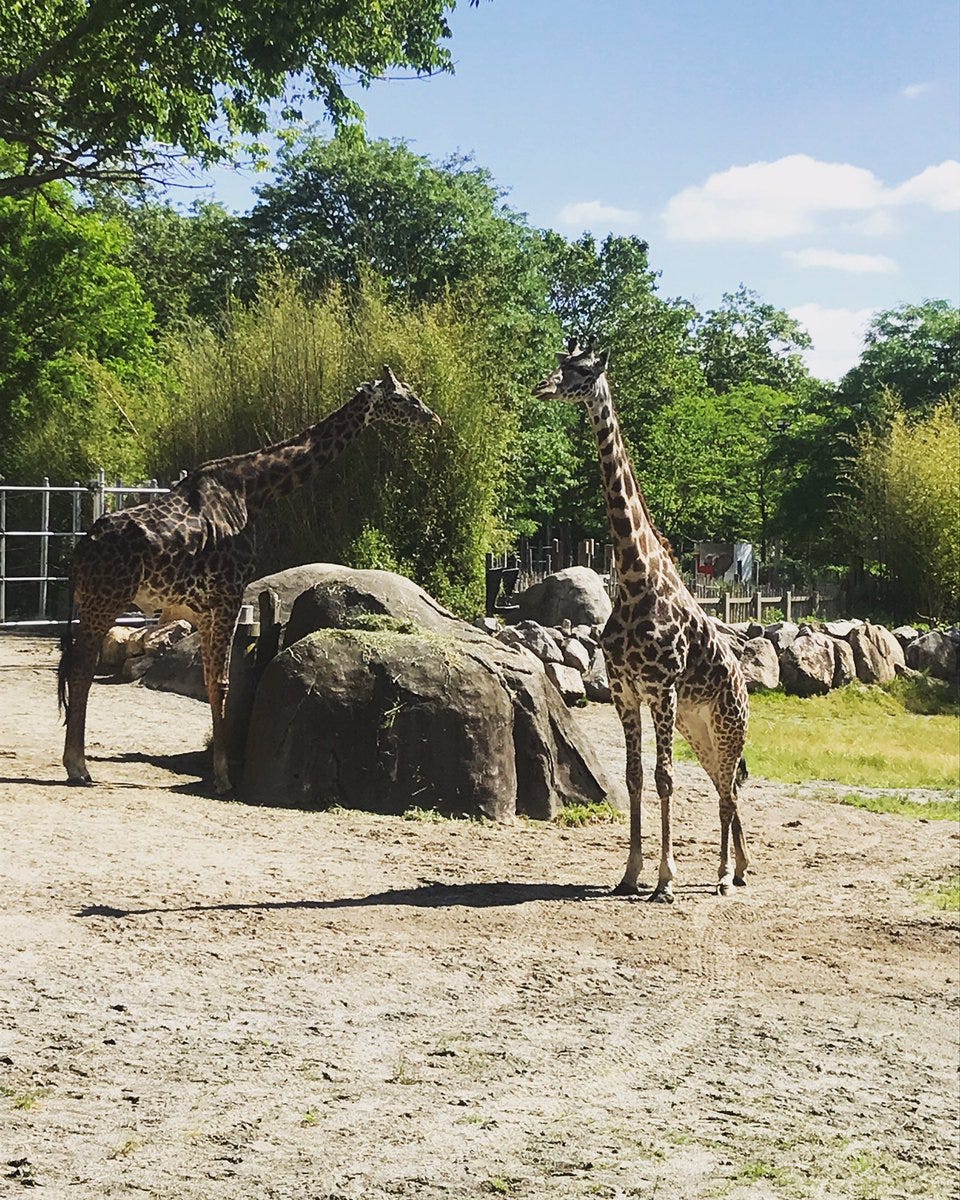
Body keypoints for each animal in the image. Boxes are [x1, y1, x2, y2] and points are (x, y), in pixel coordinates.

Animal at [56, 364, 439, 796]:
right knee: (81, 668)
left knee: (75, 665)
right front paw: (223, 777)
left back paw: (77, 764)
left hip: (93, 603)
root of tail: (80, 549)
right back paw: (78, 768)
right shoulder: (229, 594)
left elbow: (213, 680)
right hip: (104, 601)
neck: (252, 492)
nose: (433, 418)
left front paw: (221, 769)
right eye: (403, 397)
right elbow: (222, 683)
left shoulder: (205, 606)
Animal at [532, 338, 748, 902]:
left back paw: (722, 875)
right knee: (725, 785)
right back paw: (739, 867)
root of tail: (744, 681)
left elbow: (664, 777)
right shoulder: (626, 691)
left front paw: (665, 880)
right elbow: (632, 776)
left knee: (728, 788)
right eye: (560, 362)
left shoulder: (662, 689)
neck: (633, 577)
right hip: (700, 726)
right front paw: (630, 874)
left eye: (583, 371)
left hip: (727, 722)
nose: (542, 387)